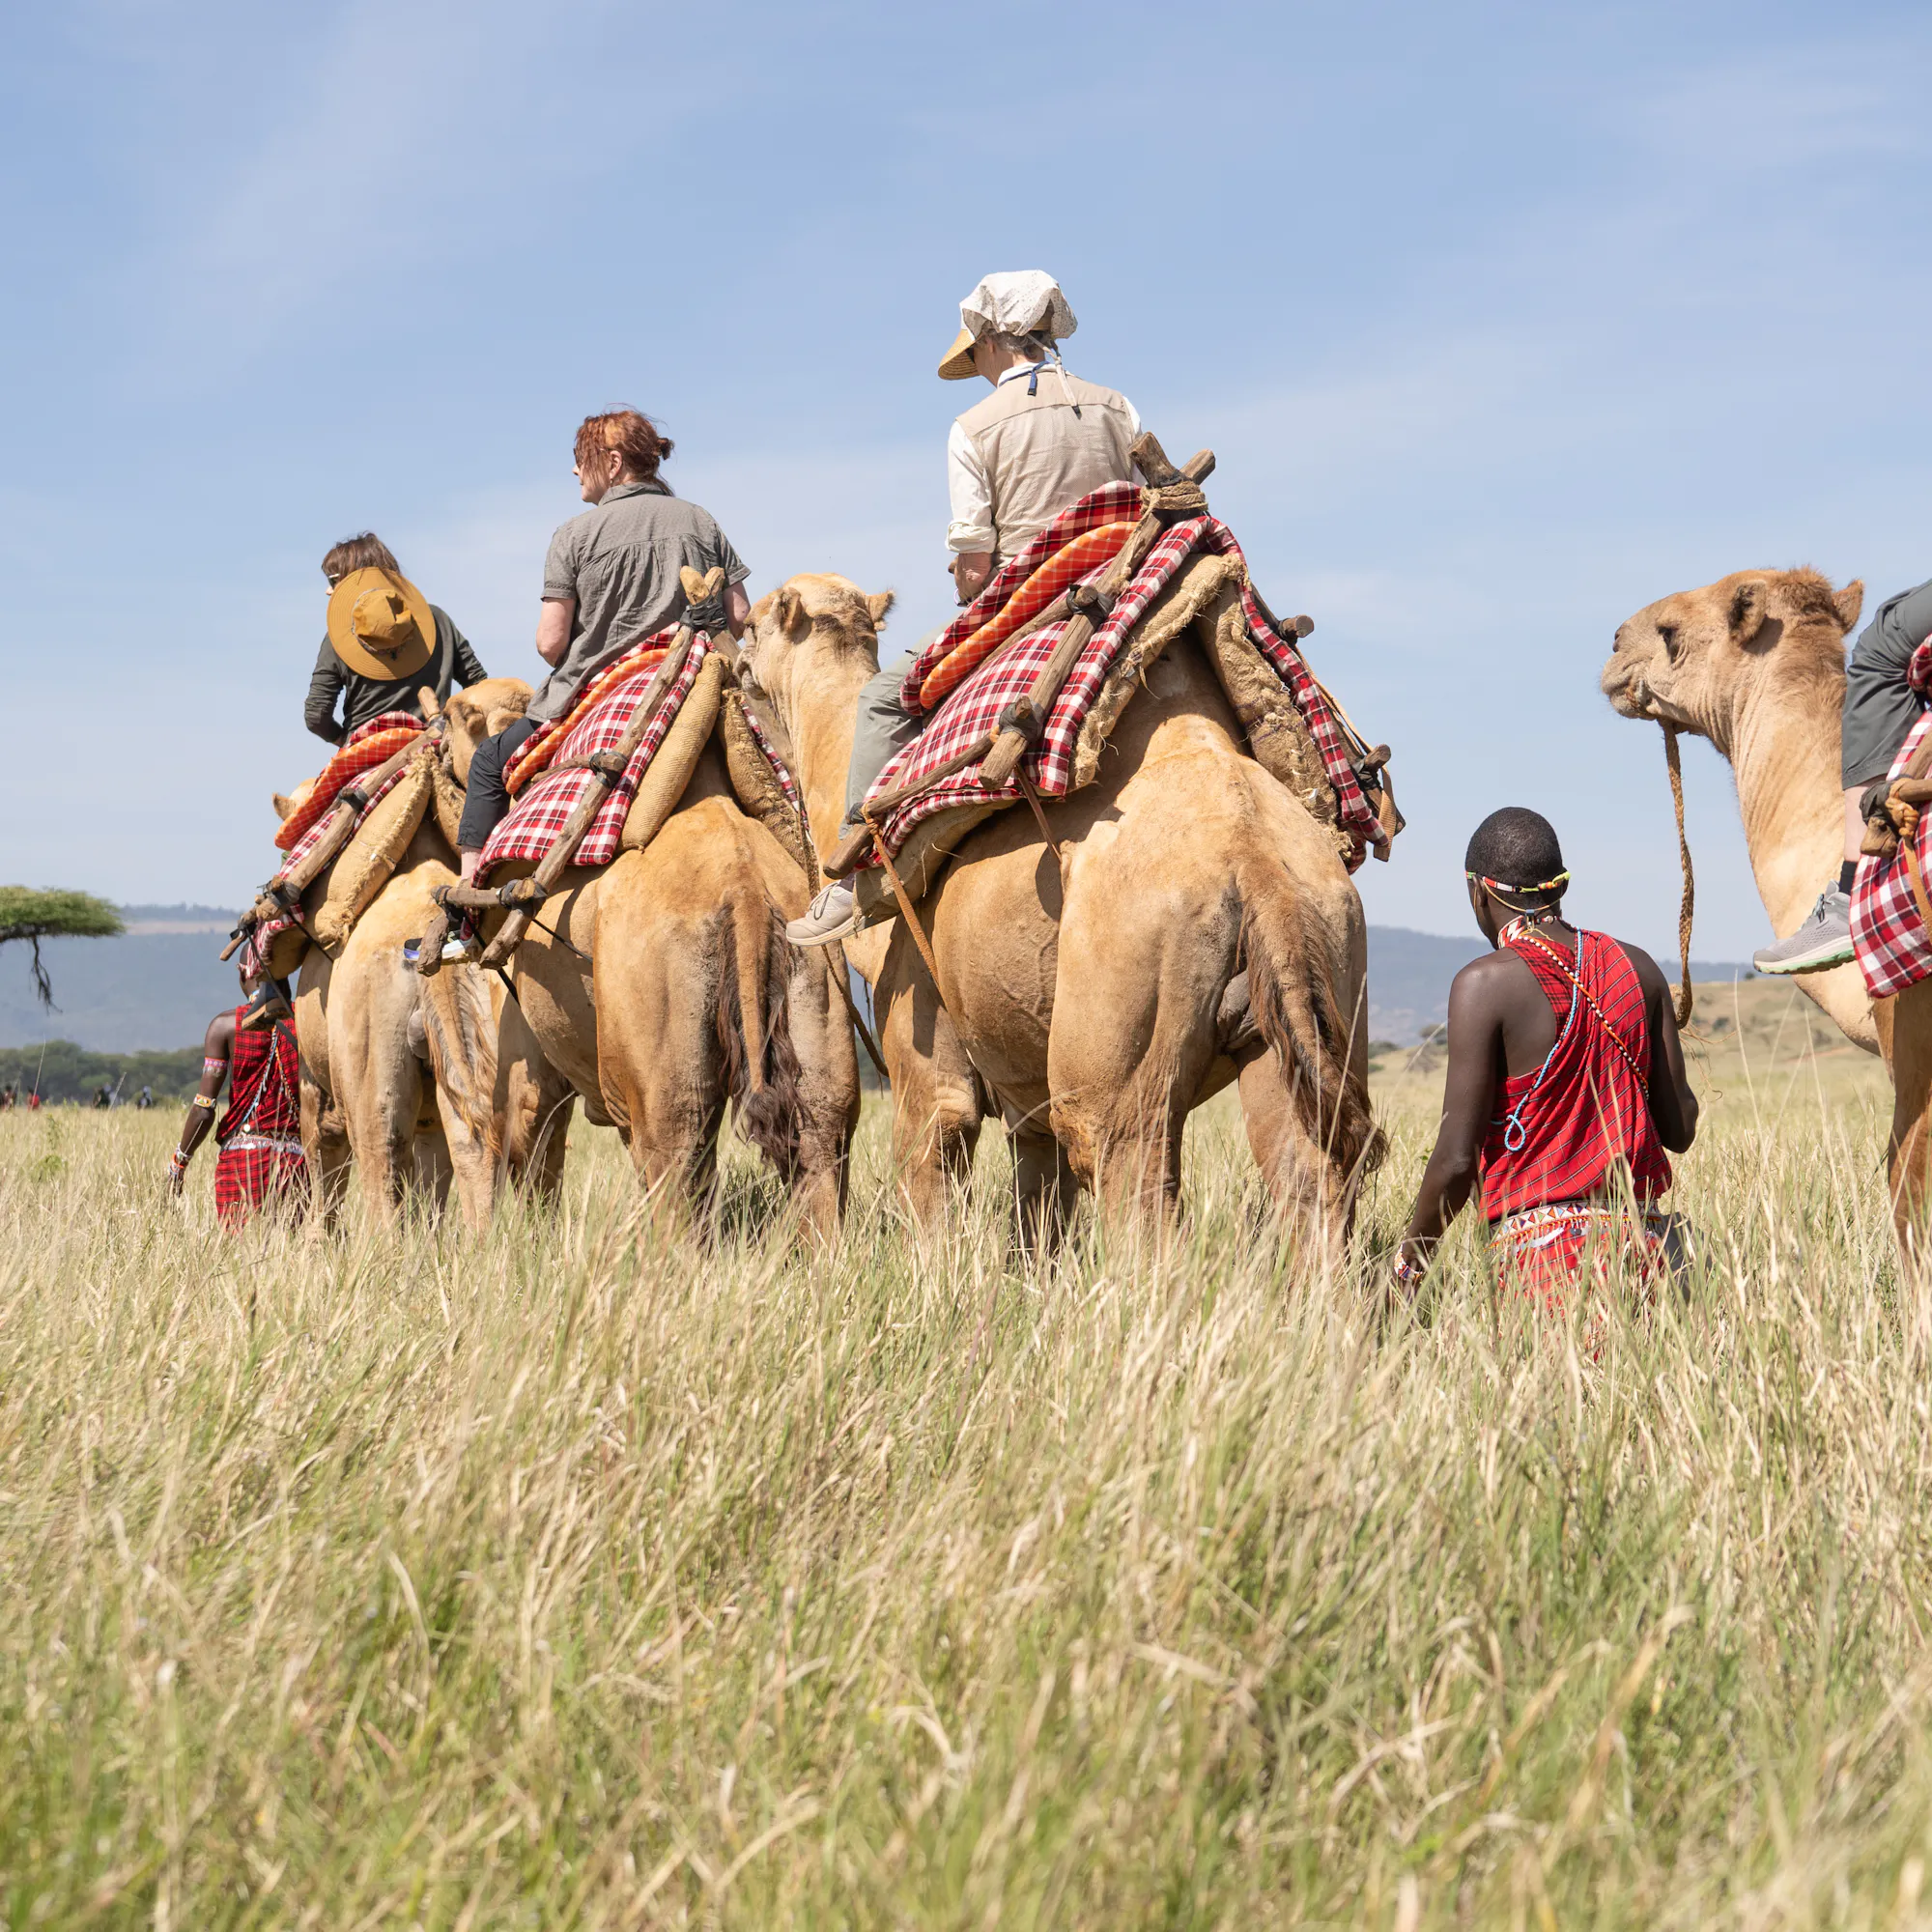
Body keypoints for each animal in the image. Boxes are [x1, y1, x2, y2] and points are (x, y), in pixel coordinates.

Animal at [428, 684, 861, 1242]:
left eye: (457, 717)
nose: (436, 746)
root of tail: (744, 887)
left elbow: (528, 1118)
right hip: (815, 970)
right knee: (819, 1135)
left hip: (655, 994)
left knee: (672, 1146)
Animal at [739, 573, 1382, 1255]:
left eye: (755, 622)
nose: (736, 654)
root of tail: (1255, 861)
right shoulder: (1023, 1087)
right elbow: (1038, 1205)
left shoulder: (916, 1011)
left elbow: (936, 1148)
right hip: (1328, 960)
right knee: (1308, 1168)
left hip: (1122, 1005)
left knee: (1128, 1166)